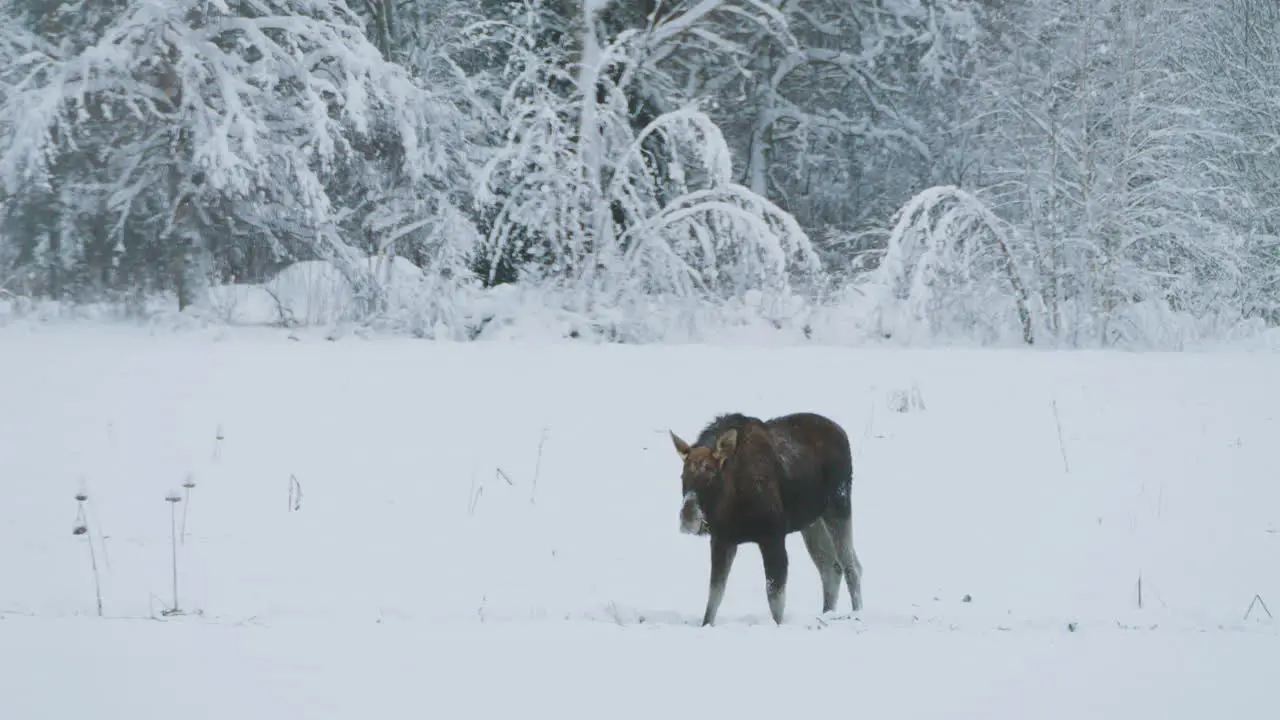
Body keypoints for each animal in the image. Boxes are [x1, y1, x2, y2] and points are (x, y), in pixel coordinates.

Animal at [665, 409, 865, 622]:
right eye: (682, 477)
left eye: (711, 477)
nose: (687, 518)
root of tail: (842, 433)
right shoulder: (722, 541)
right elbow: (714, 597)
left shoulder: (772, 537)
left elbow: (775, 598)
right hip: (811, 523)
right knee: (830, 567)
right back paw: (826, 613)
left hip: (839, 506)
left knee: (851, 565)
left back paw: (857, 613)